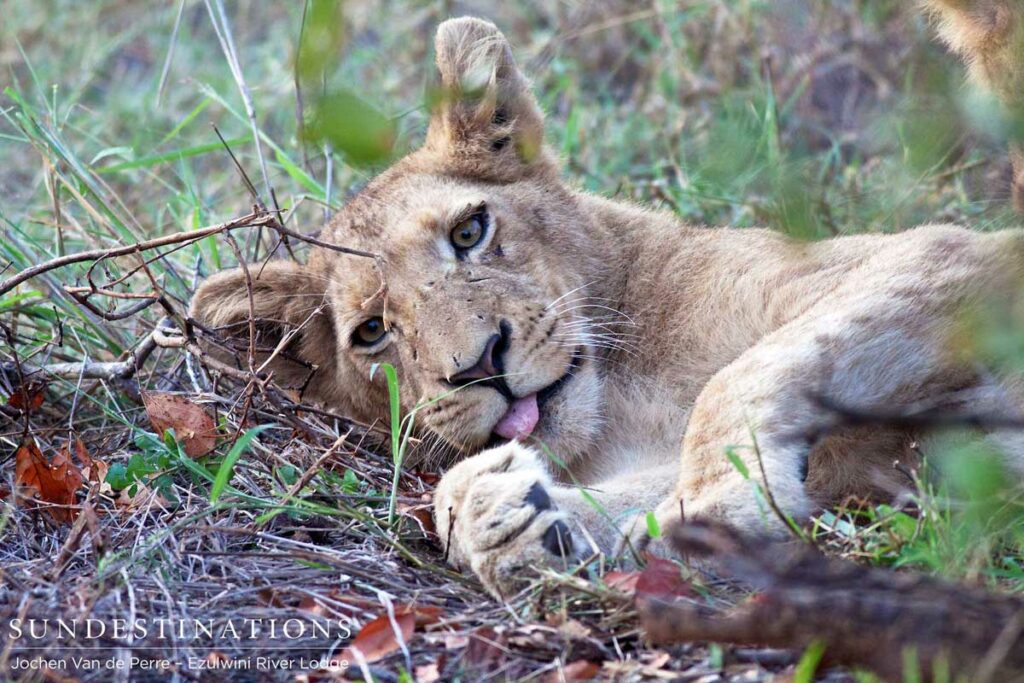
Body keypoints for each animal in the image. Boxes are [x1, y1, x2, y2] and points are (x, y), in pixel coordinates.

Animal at [191, 10, 1024, 597]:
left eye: (469, 231)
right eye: (371, 332)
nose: (479, 365)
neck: (623, 392)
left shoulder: (952, 255)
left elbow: (738, 380)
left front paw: (720, 506)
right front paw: (503, 518)